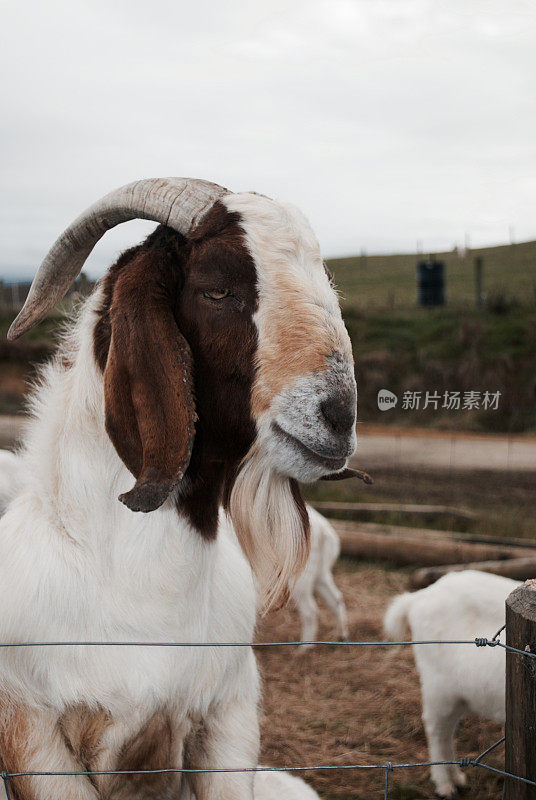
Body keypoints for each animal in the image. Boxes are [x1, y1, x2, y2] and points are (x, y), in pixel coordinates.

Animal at [384, 572, 516, 796]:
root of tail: (417, 598)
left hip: (460, 694)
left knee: (447, 731)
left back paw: (456, 778)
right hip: (438, 686)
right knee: (436, 730)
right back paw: (444, 784)